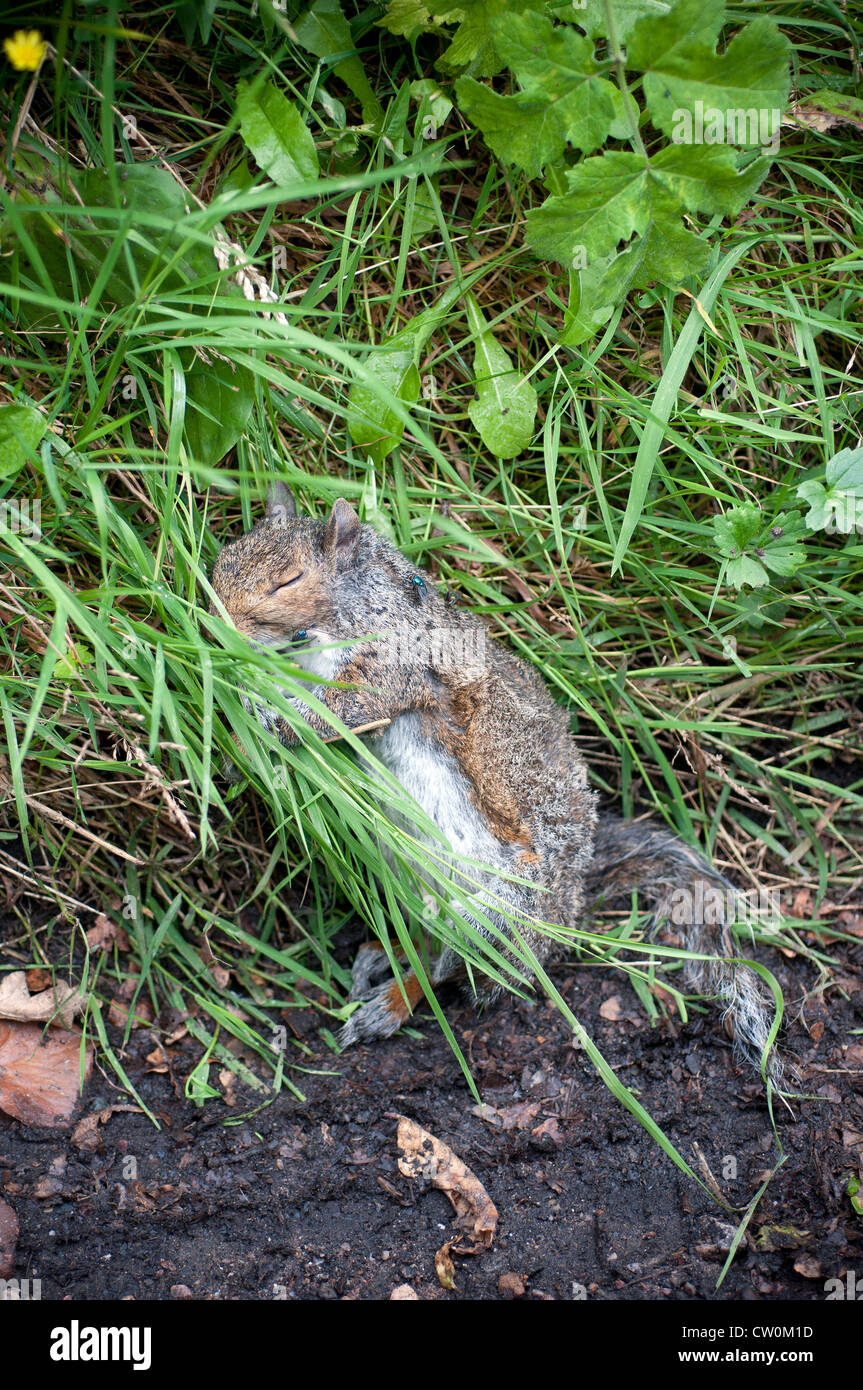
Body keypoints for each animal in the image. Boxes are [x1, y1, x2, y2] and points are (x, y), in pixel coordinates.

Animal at [211, 484, 785, 1088]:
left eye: (288, 581)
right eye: (225, 557)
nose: (214, 620)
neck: (357, 600)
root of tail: (566, 916)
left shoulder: (391, 667)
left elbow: (333, 714)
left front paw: (241, 713)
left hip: (493, 912)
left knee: (448, 971)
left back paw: (390, 1003)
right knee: (427, 943)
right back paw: (383, 954)